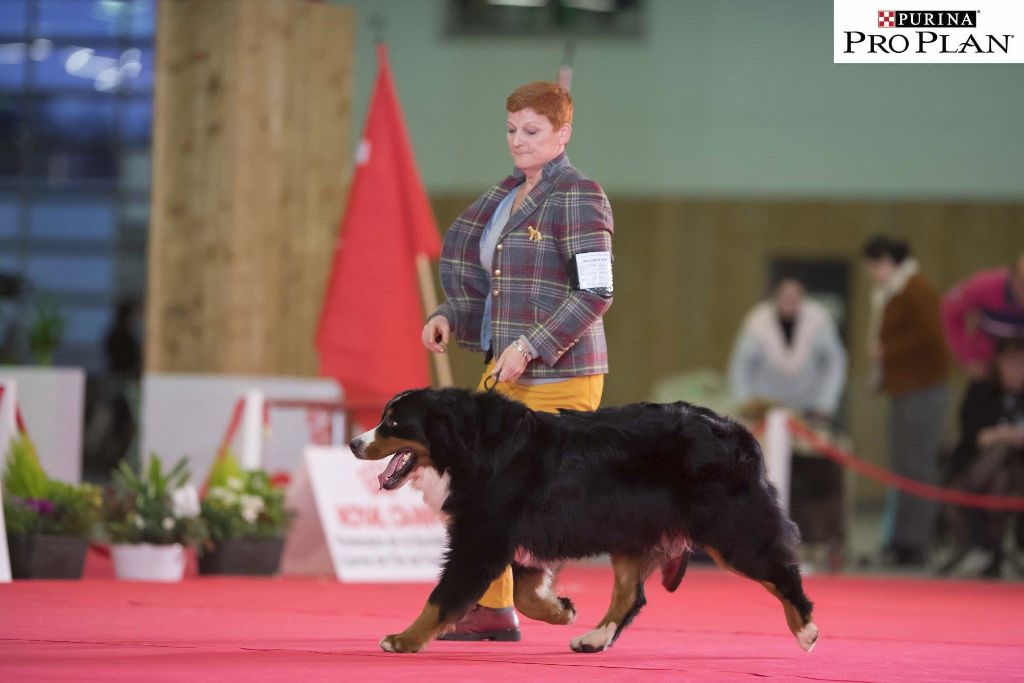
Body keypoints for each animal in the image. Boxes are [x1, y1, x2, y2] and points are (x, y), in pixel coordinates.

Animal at [348, 387, 819, 655]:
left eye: (392, 421)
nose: (354, 443)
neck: (473, 445)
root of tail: (737, 431)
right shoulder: (511, 539)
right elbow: (526, 595)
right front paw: (561, 610)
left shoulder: (481, 538)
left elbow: (441, 597)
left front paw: (405, 639)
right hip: (631, 530)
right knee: (630, 596)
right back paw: (594, 638)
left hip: (729, 529)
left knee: (780, 570)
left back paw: (806, 629)